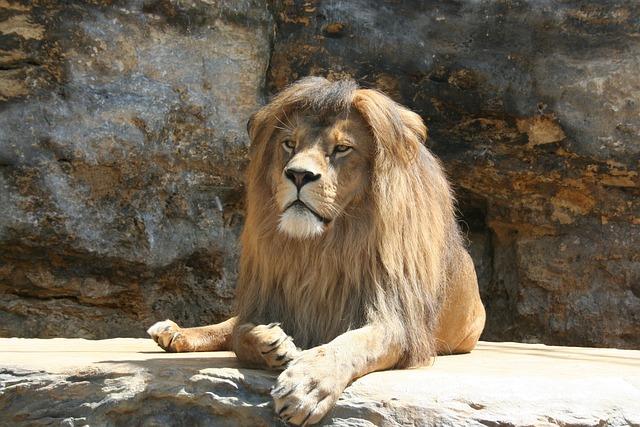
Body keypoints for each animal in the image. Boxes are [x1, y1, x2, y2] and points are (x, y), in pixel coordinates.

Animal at [148, 76, 488, 424]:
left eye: (342, 148)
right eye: (289, 144)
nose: (298, 174)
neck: (321, 246)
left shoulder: (397, 319)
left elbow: (352, 344)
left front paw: (307, 385)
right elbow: (241, 334)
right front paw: (270, 342)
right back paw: (173, 332)